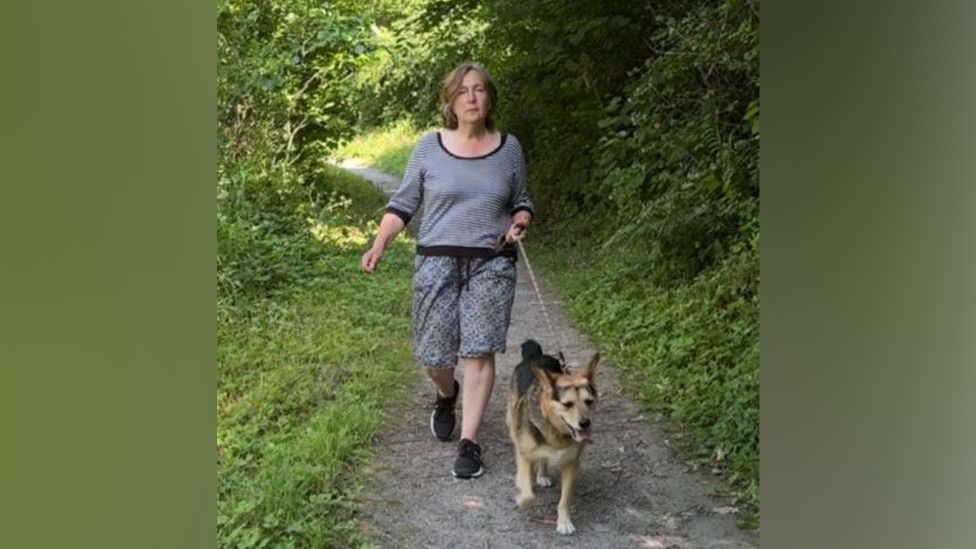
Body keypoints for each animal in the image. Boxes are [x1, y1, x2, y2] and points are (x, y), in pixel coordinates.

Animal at [508, 336, 600, 532]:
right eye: (567, 404)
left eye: (589, 401)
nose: (585, 424)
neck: (556, 431)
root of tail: (535, 355)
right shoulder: (525, 454)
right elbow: (528, 495)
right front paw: (522, 495)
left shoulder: (572, 464)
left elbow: (565, 499)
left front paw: (564, 521)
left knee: (543, 459)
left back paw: (542, 475)